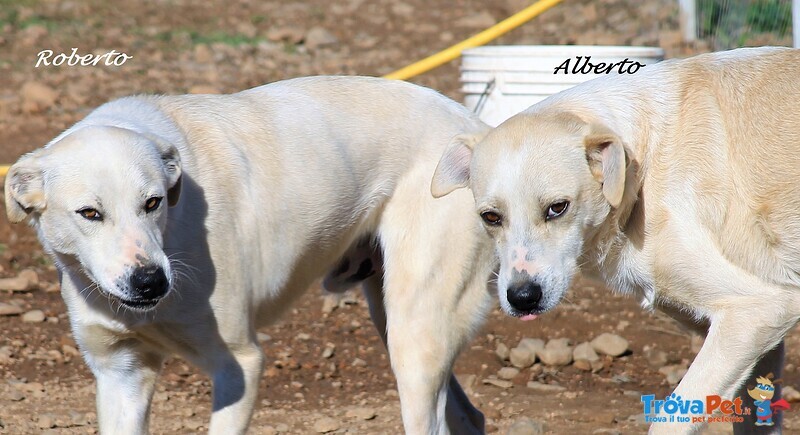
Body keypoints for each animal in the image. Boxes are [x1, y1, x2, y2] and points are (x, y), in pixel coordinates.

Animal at [4, 77, 494, 435]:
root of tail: (479, 132)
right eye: (90, 213)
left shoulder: (239, 365)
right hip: (394, 320)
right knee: (470, 417)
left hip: (415, 338)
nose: (151, 283)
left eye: (153, 202)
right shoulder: (120, 375)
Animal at [432, 46, 800, 434]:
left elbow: (669, 421)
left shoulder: (760, 310)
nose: (522, 298)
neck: (642, 164)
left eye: (557, 208)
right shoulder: (757, 340)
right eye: (491, 217)